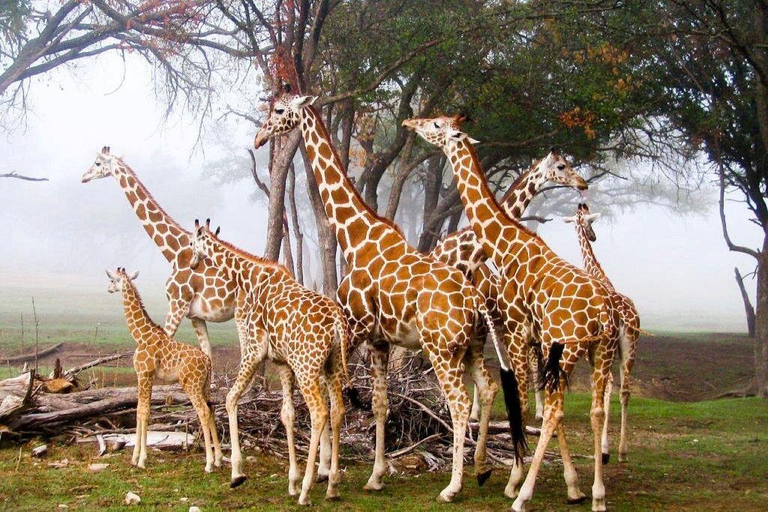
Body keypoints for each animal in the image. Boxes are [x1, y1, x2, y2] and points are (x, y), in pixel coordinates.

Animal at [82, 147, 237, 366]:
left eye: (97, 163)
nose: (83, 177)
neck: (174, 252)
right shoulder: (195, 315)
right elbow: (207, 354)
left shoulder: (177, 305)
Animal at [106, 267, 222, 472]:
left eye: (112, 280)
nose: (108, 289)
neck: (140, 335)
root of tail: (207, 361)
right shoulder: (143, 376)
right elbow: (140, 410)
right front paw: (134, 458)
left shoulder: (145, 375)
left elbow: (144, 412)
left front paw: (142, 459)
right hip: (205, 385)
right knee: (211, 409)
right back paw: (218, 459)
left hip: (191, 384)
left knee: (203, 411)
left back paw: (208, 463)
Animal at [190, 219, 348, 505]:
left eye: (190, 241)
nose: (193, 263)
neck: (250, 278)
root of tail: (337, 323)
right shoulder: (282, 363)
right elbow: (287, 415)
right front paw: (292, 482)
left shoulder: (254, 350)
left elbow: (230, 398)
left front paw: (237, 473)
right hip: (332, 366)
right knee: (337, 411)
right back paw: (332, 486)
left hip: (307, 367)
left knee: (319, 412)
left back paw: (307, 491)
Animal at [253, 91, 509, 503]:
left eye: (279, 110)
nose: (260, 138)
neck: (354, 235)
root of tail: (473, 299)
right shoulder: (379, 340)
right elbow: (379, 404)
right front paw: (375, 476)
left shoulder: (354, 328)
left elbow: (335, 398)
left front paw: (325, 472)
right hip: (470, 345)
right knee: (486, 389)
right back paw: (482, 468)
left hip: (441, 350)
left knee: (458, 402)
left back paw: (453, 486)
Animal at [564, 203, 642, 463]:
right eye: (591, 223)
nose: (593, 236)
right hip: (630, 348)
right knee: (625, 391)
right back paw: (622, 451)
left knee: (609, 388)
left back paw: (608, 451)